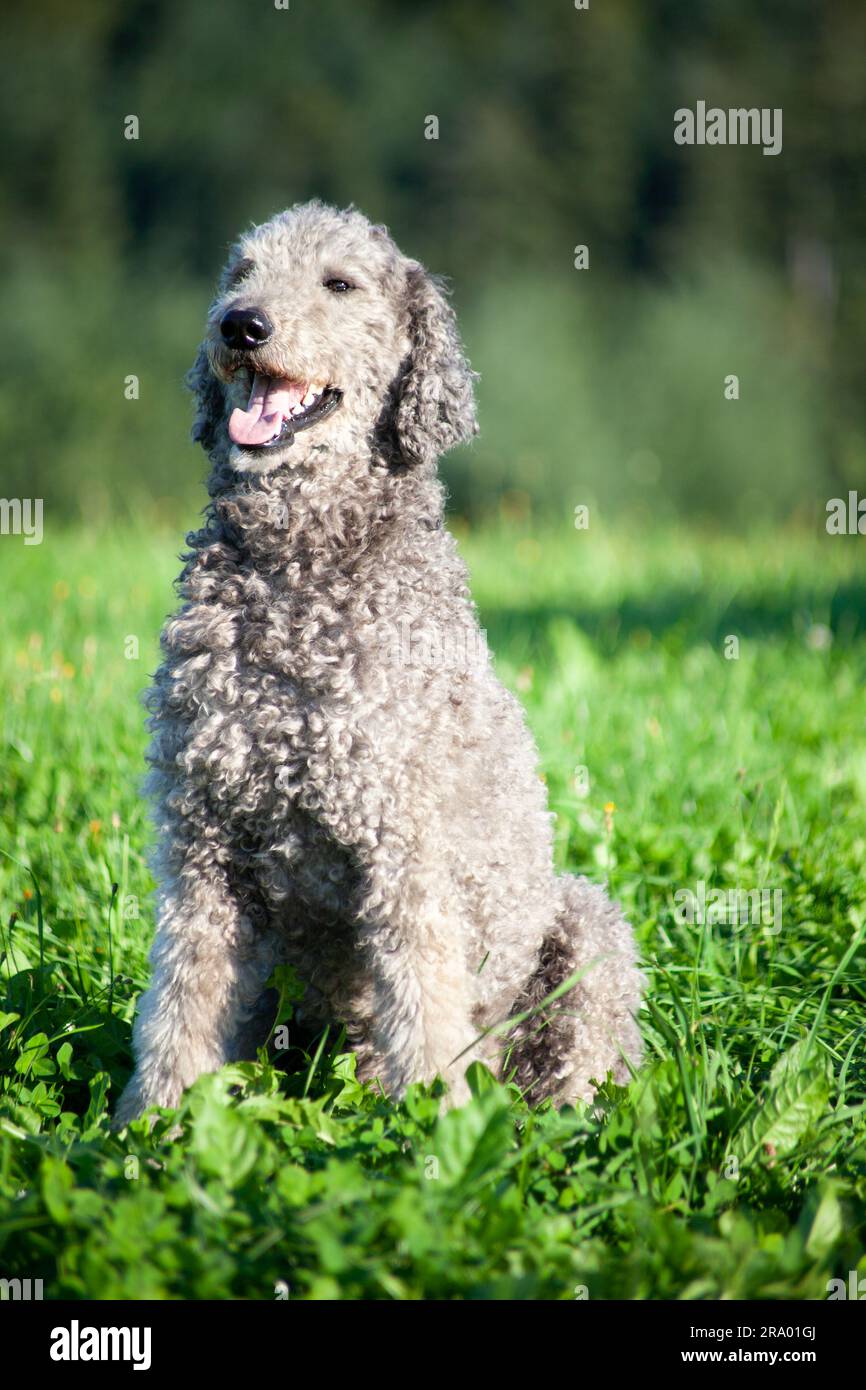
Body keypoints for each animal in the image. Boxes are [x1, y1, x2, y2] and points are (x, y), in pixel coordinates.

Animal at [115, 201, 639, 1123]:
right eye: (240, 272)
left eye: (340, 283)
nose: (241, 325)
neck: (297, 574)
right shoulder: (202, 841)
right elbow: (184, 998)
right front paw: (156, 1125)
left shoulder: (405, 847)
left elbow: (424, 1002)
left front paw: (436, 1131)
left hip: (584, 930)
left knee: (573, 1060)